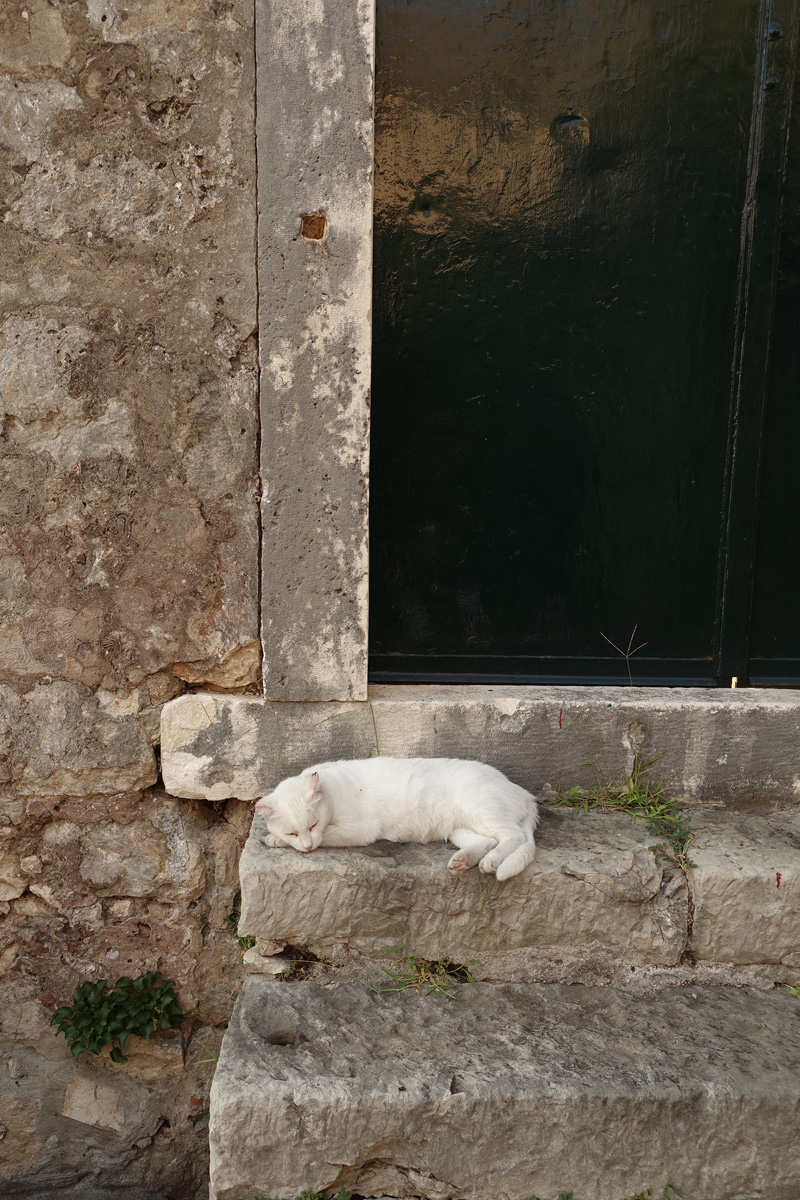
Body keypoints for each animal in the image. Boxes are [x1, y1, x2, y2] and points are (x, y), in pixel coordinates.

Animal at [255, 758, 537, 883]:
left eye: (312, 825)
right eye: (292, 832)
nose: (307, 846)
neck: (331, 790)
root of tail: (524, 793)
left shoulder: (359, 830)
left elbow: (326, 837)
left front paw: (280, 841)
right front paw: (276, 839)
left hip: (479, 808)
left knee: (515, 836)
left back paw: (492, 862)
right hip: (458, 827)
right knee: (488, 840)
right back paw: (464, 860)